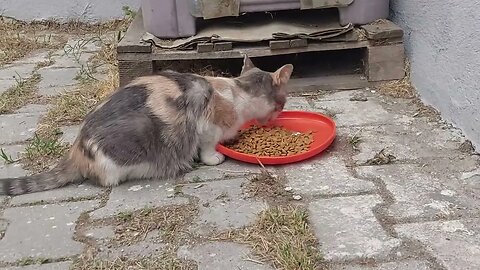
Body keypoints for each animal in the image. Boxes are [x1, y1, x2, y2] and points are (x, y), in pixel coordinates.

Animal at [0, 54, 292, 195]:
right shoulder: (207, 126)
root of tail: (76, 150)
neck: (237, 91)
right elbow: (208, 146)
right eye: (283, 102)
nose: (278, 115)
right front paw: (214, 157)